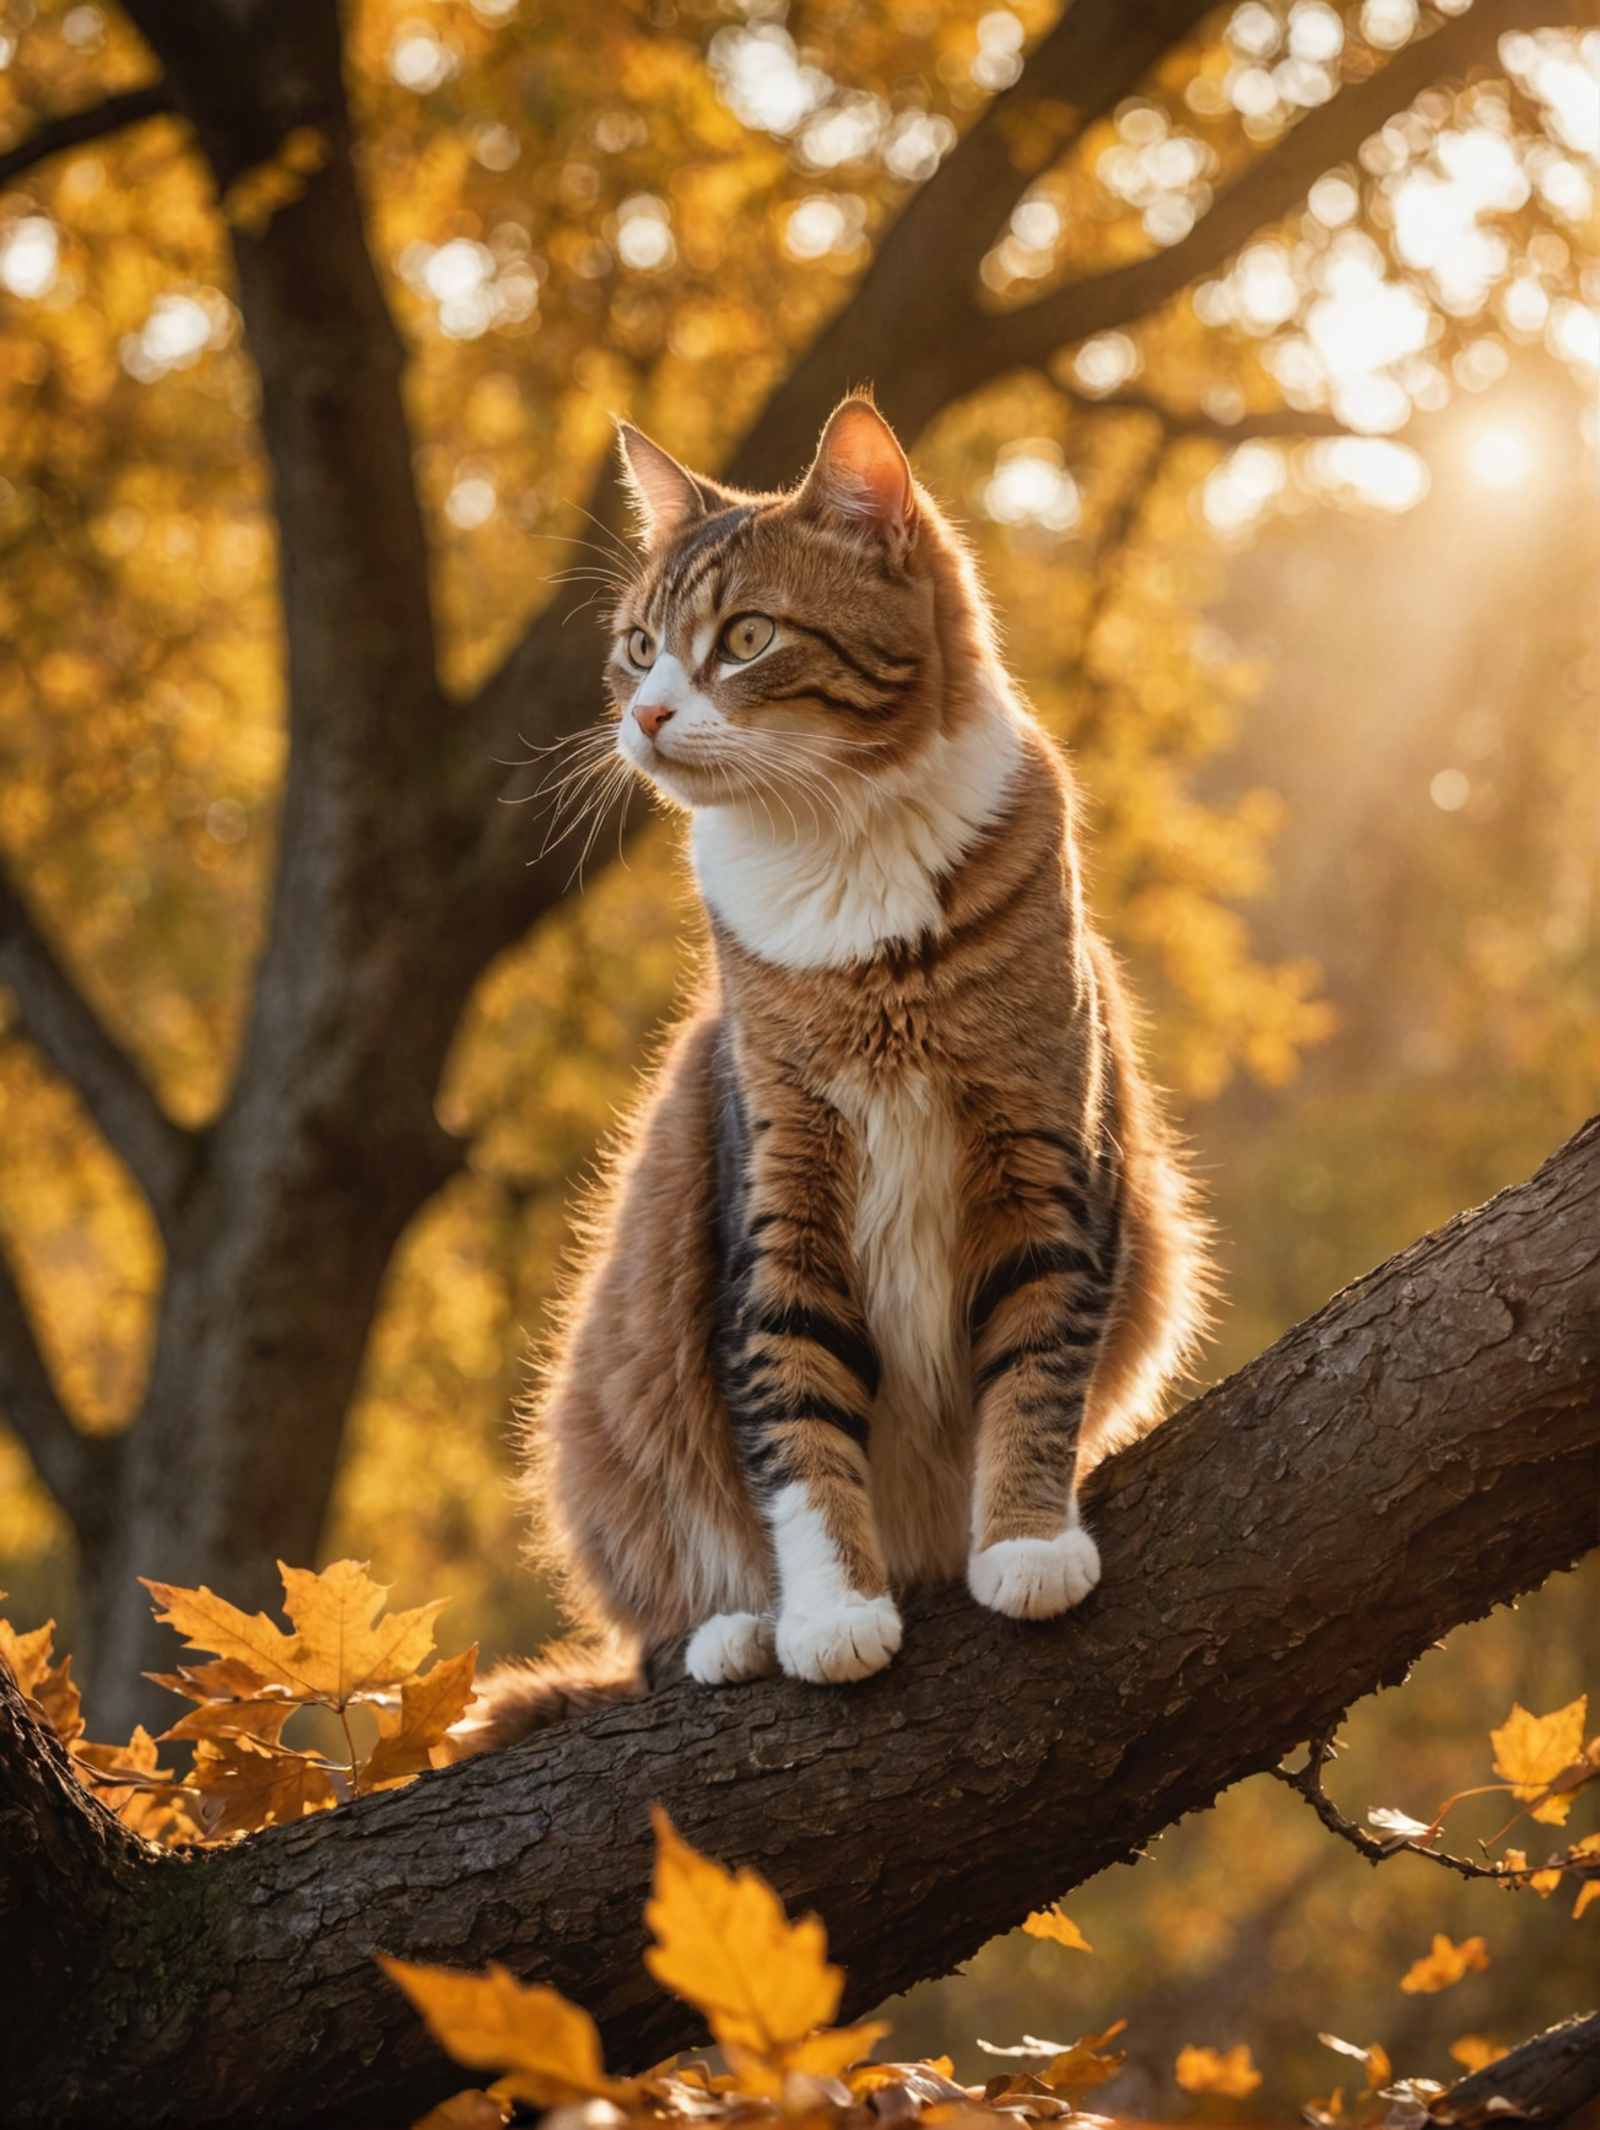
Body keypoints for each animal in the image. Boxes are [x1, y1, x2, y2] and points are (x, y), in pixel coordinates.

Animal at [445, 391, 1210, 1755]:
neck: (845, 868)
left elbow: (1036, 1362)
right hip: (603, 1411)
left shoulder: (1044, 1150)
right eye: (639, 647)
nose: (644, 716)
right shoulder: (777, 1184)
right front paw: (830, 1617)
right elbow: (794, 1413)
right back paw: (732, 1635)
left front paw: (1025, 1543)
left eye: (744, 638)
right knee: (652, 1627)